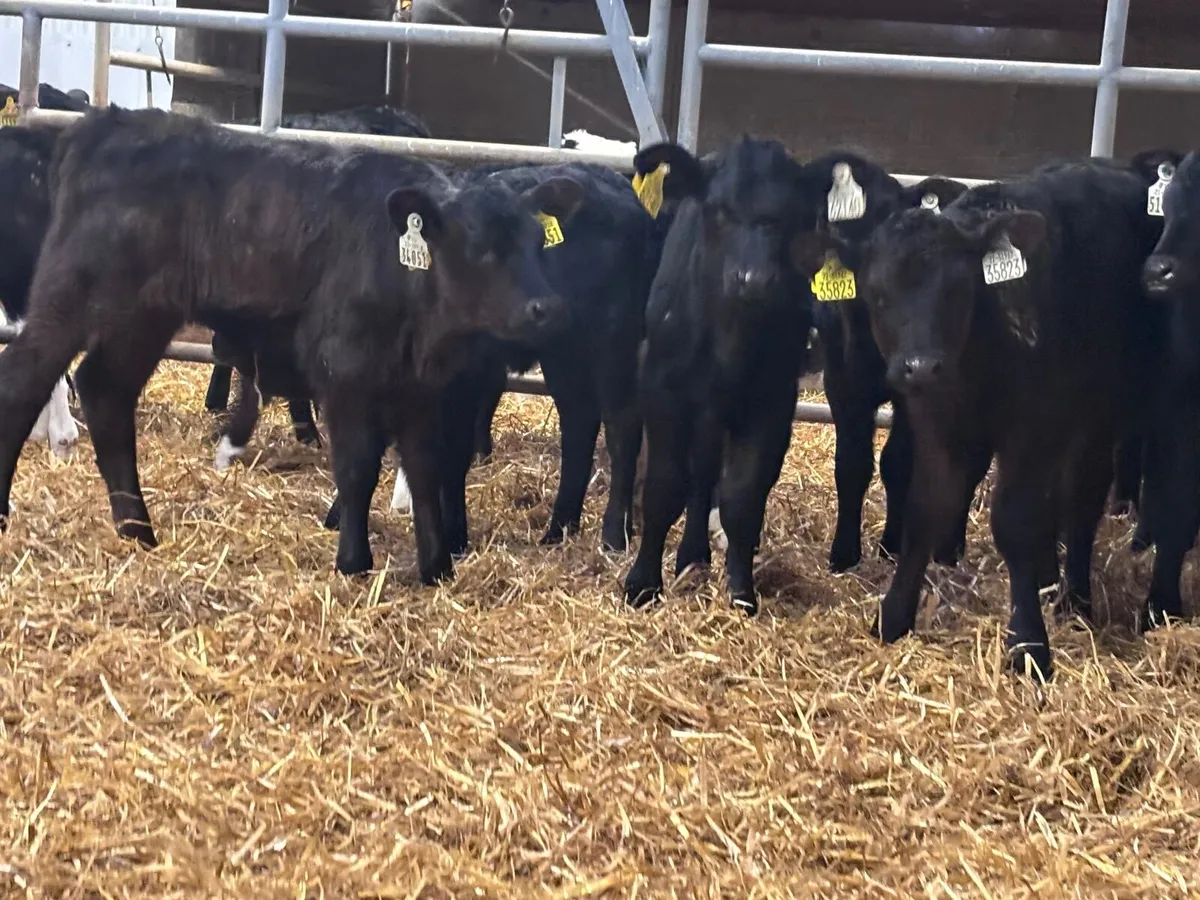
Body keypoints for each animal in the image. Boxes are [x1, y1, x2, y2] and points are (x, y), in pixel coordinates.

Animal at [0, 106, 579, 585]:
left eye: (537, 241)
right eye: (480, 246)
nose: (546, 307)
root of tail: (104, 124)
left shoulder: (420, 389)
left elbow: (425, 466)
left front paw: (436, 567)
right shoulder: (345, 373)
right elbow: (358, 465)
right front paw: (353, 561)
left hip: (140, 318)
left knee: (105, 391)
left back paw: (137, 529)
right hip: (73, 297)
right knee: (25, 379)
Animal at [621, 138, 819, 614]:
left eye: (788, 215)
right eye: (718, 210)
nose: (753, 280)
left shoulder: (772, 406)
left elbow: (742, 499)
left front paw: (741, 592)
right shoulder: (664, 395)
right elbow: (664, 487)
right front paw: (642, 583)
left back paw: (695, 556)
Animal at [795, 158, 1165, 678]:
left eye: (956, 290)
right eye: (878, 295)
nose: (921, 366)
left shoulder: (1032, 428)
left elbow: (1015, 520)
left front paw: (1028, 642)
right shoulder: (936, 422)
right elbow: (923, 507)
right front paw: (894, 615)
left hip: (1098, 415)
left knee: (1083, 500)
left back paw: (1075, 599)